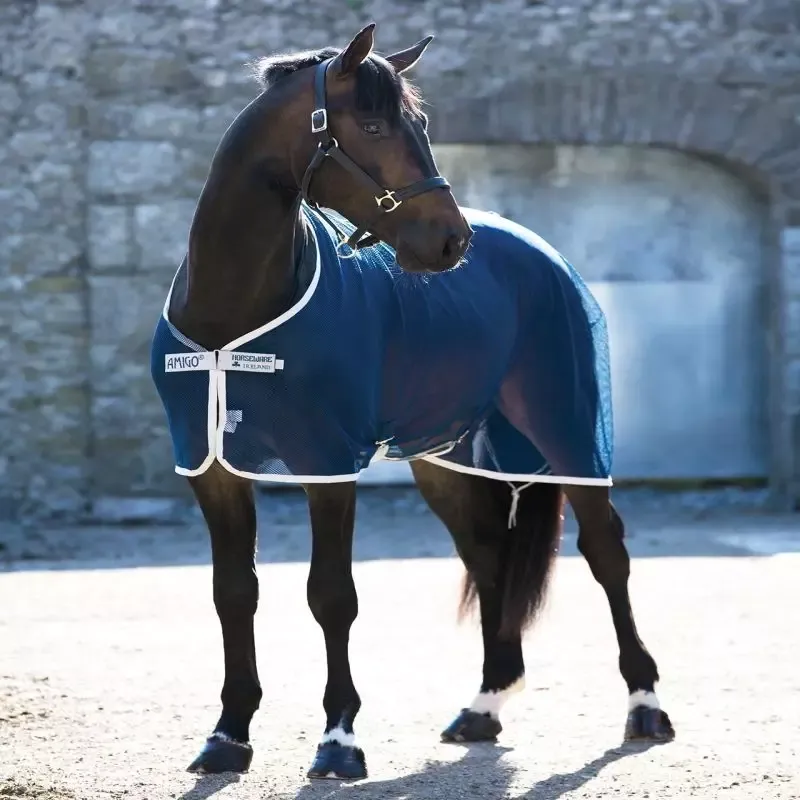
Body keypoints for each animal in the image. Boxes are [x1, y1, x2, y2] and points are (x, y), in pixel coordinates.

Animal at [149, 22, 675, 781]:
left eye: (419, 125)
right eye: (370, 125)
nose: (452, 239)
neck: (235, 312)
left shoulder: (327, 464)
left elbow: (331, 596)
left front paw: (339, 741)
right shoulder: (211, 468)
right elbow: (233, 593)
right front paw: (227, 736)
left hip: (571, 432)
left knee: (607, 554)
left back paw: (645, 707)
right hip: (446, 459)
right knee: (487, 554)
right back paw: (483, 706)